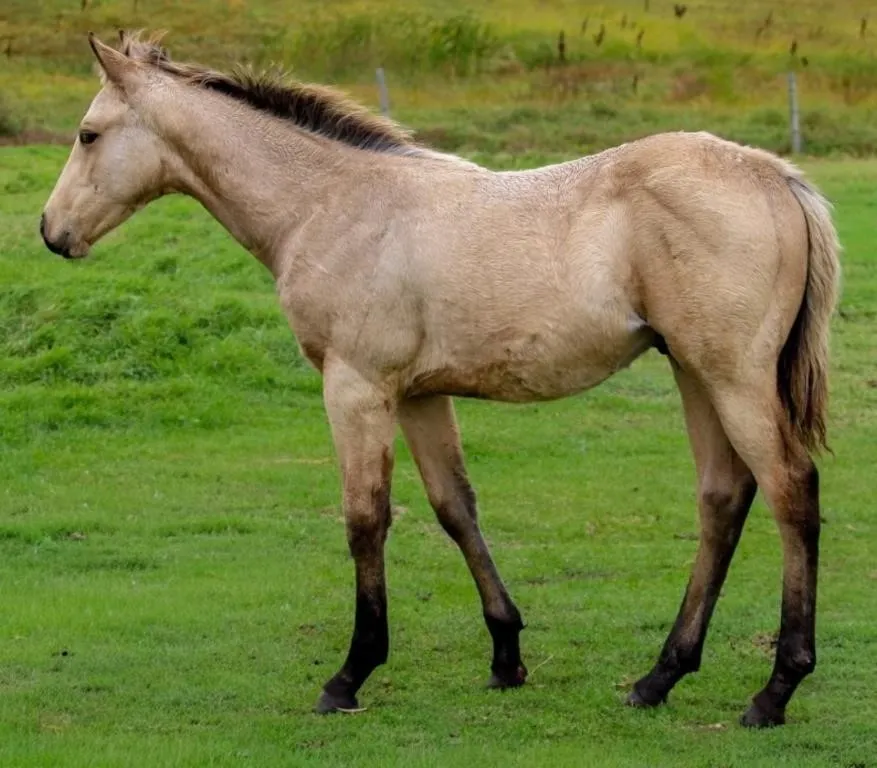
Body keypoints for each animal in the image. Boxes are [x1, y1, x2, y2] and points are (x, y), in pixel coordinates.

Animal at [41, 32, 840, 727]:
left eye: (87, 134)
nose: (52, 233)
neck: (330, 205)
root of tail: (773, 174)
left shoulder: (356, 387)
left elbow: (366, 519)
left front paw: (350, 674)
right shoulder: (420, 396)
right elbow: (456, 508)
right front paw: (506, 655)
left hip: (731, 376)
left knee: (790, 491)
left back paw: (774, 690)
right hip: (693, 373)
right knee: (722, 499)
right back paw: (659, 677)